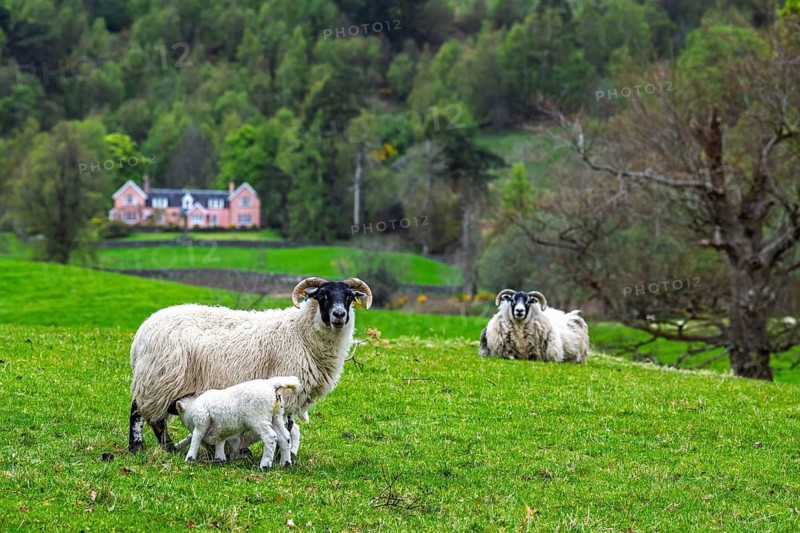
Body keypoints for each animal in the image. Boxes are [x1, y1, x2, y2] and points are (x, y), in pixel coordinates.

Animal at [128, 277, 373, 455]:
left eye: (349, 297)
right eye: (322, 296)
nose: (339, 315)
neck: (301, 332)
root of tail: (142, 331)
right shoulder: (287, 386)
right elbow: (287, 426)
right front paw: (282, 455)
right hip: (159, 378)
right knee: (143, 413)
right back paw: (147, 447)